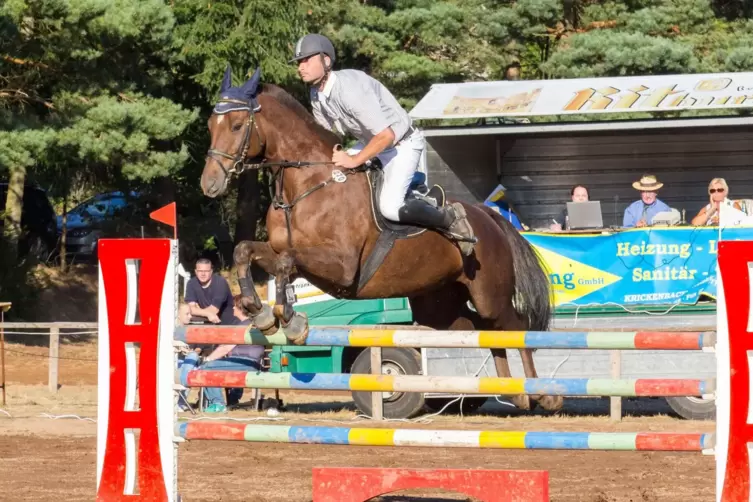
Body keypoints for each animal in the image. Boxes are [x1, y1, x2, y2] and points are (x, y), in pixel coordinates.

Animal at [200, 65, 564, 412]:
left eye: (236, 125)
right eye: (209, 125)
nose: (210, 185)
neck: (306, 185)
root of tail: (488, 215)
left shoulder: (341, 267)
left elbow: (286, 264)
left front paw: (289, 321)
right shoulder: (281, 251)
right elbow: (245, 251)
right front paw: (260, 312)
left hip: (490, 295)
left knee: (516, 328)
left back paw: (542, 395)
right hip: (440, 307)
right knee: (485, 331)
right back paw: (513, 391)